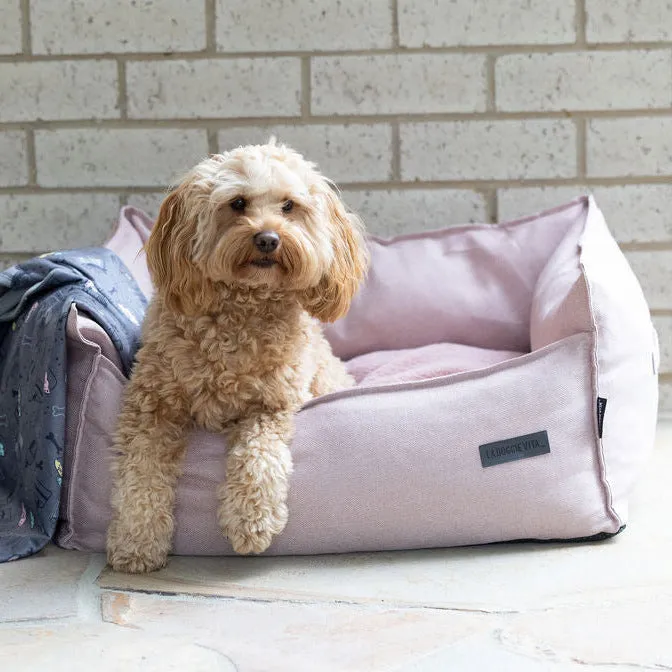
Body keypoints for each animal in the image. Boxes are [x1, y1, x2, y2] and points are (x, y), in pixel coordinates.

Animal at [105, 142, 368, 572]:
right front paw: (136, 542)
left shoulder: (273, 405)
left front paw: (251, 522)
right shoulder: (150, 405)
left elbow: (259, 456)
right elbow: (140, 472)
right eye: (238, 203)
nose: (267, 239)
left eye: (289, 206)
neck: (243, 309)